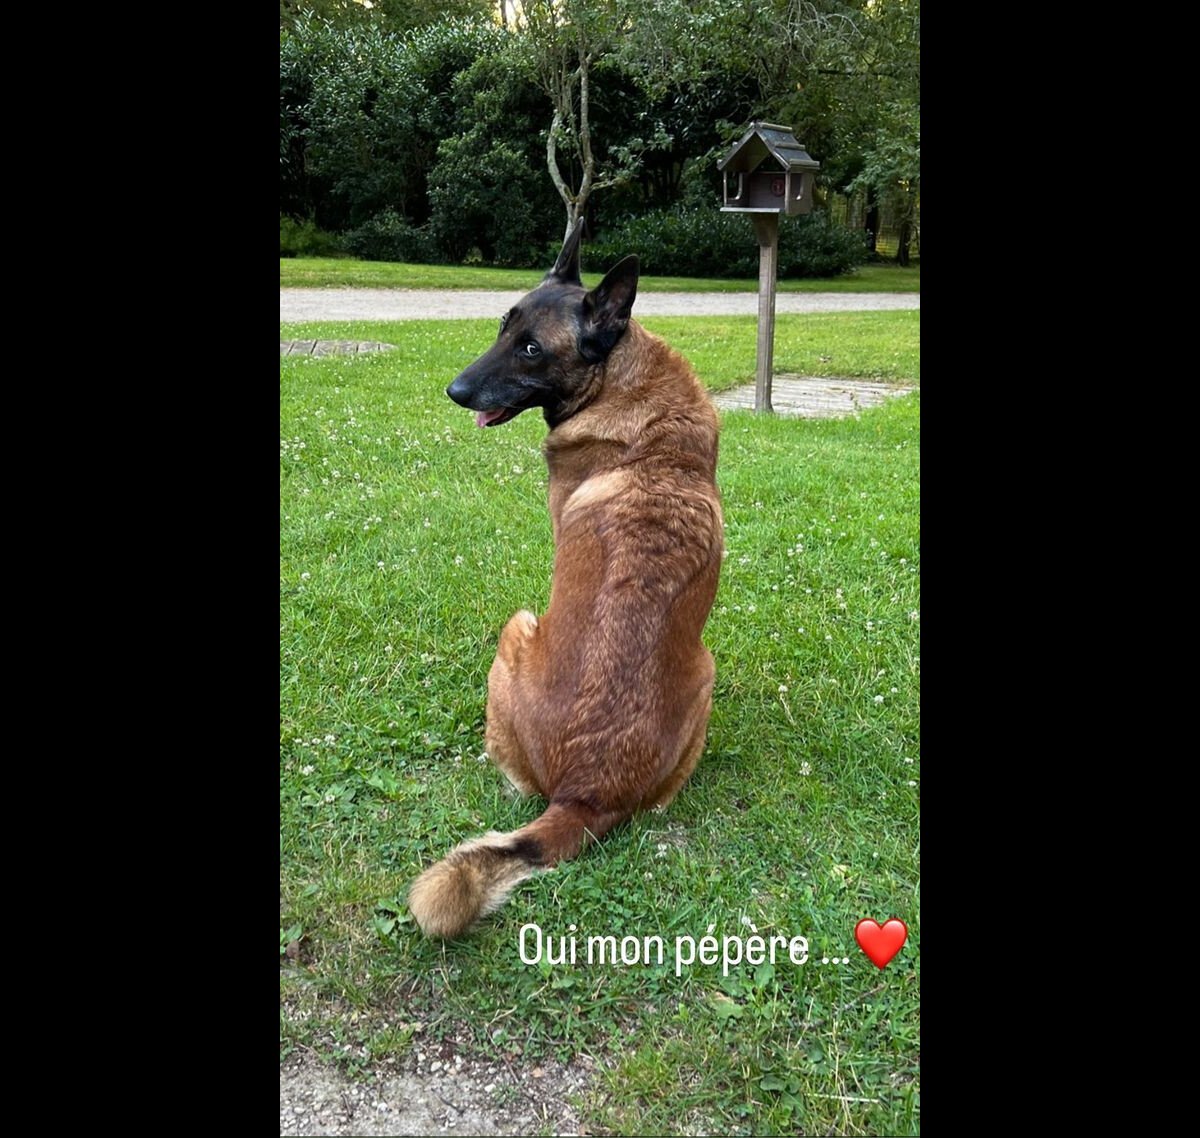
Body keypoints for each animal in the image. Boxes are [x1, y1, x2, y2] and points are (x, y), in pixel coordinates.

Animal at [408, 219, 715, 931]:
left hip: (518, 628)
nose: (455, 392)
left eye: (531, 350)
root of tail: (586, 791)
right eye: (502, 326)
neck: (619, 385)